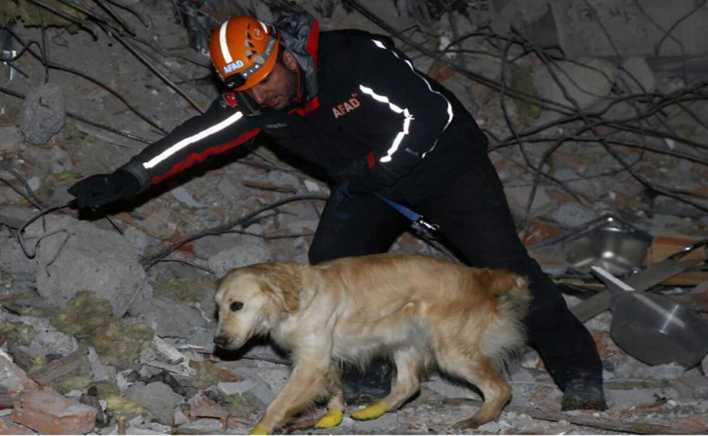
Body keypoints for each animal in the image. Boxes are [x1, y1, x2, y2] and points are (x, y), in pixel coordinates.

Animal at [213, 254, 528, 434]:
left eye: (237, 305)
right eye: (218, 308)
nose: (218, 341)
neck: (297, 298)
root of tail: (480, 276)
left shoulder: (311, 364)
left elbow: (278, 404)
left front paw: (261, 429)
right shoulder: (323, 361)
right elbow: (334, 392)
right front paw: (334, 414)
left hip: (453, 353)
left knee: (500, 389)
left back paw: (475, 421)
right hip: (404, 342)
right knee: (409, 385)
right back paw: (374, 409)